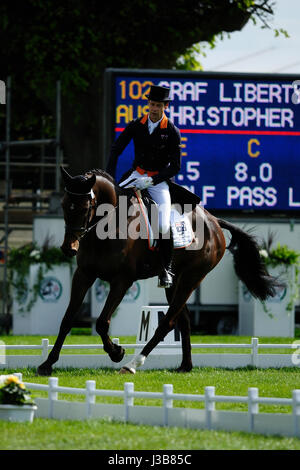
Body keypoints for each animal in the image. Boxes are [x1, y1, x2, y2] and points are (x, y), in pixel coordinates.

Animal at [37, 167, 278, 376]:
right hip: (175, 283)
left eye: (86, 207)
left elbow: (102, 322)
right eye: (64, 204)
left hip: (192, 277)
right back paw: (185, 366)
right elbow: (67, 319)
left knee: (167, 322)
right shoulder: (84, 274)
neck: (108, 225)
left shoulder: (122, 280)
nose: (68, 248)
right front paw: (47, 364)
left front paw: (116, 352)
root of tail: (213, 221)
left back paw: (133, 363)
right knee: (183, 320)